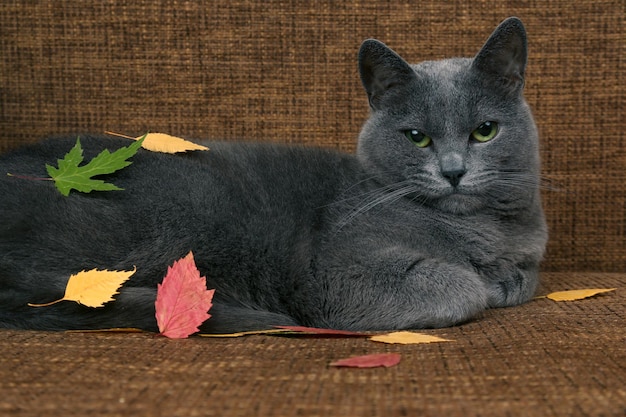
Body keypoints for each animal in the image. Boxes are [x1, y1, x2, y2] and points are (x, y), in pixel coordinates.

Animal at [0, 17, 544, 332]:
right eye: (417, 137)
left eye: (485, 131)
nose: (454, 171)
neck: (485, 229)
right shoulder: (337, 273)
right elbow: (463, 287)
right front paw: (487, 283)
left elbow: (526, 276)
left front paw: (506, 277)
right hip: (179, 204)